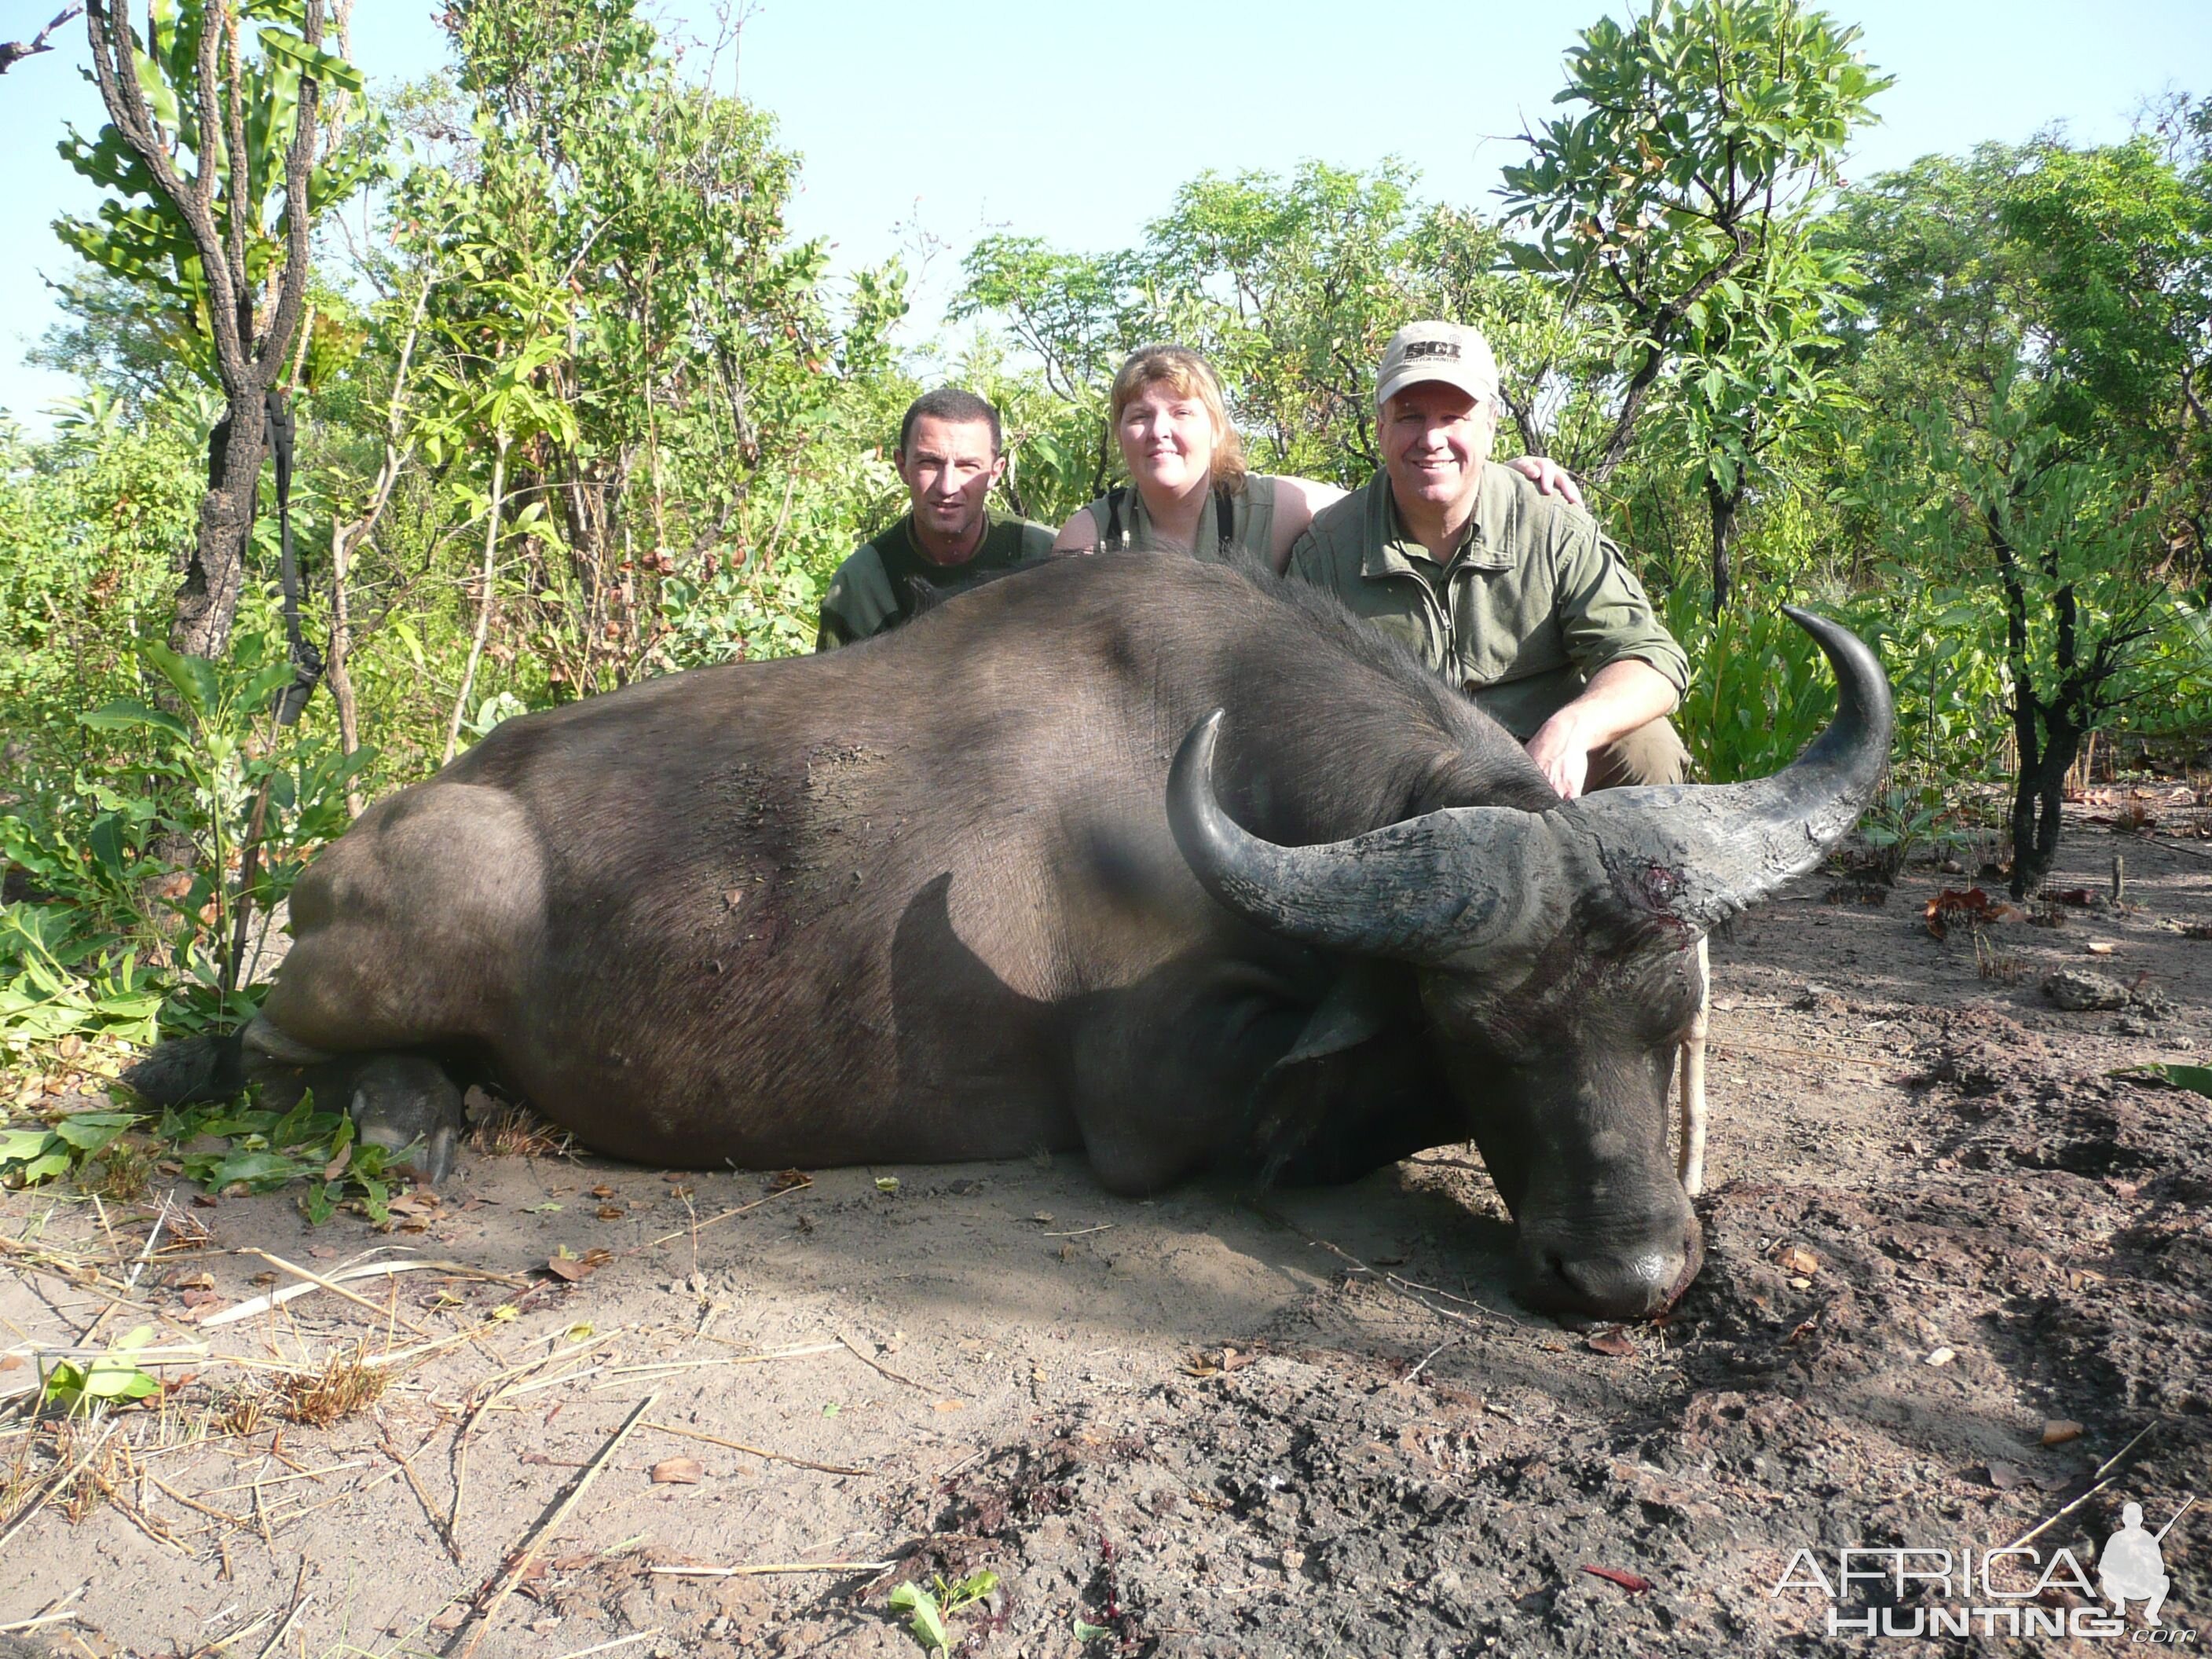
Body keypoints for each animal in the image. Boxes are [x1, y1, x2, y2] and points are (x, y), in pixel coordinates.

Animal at [134, 559, 1884, 1327]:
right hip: (420, 917)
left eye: (1666, 1028)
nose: (1627, 1274)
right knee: (264, 1047)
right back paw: (407, 1110)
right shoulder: (1155, 1114)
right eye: (1489, 1032)